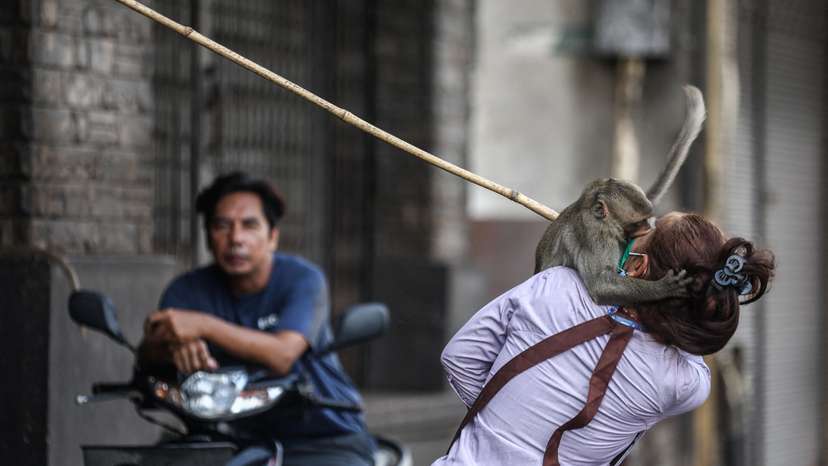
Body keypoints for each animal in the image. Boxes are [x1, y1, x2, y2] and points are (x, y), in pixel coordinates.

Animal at [533, 85, 706, 306]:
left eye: (647, 219)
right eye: (638, 222)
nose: (650, 226)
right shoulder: (594, 234)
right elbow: (601, 284)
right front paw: (663, 287)